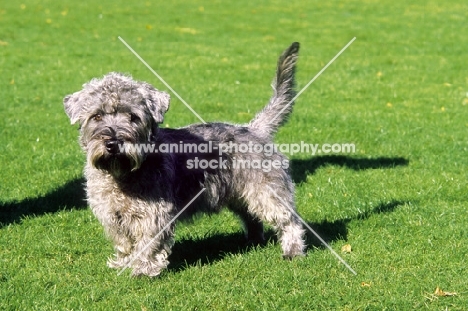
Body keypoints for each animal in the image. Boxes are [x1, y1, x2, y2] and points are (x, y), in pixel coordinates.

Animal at [65, 42, 308, 278]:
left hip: (266, 193)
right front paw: (123, 263)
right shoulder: (112, 216)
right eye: (96, 116)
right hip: (240, 195)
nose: (113, 143)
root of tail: (255, 129)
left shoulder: (154, 215)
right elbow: (124, 243)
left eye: (133, 117)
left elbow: (147, 244)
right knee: (252, 218)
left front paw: (143, 270)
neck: (123, 177)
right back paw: (253, 241)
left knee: (290, 221)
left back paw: (292, 251)